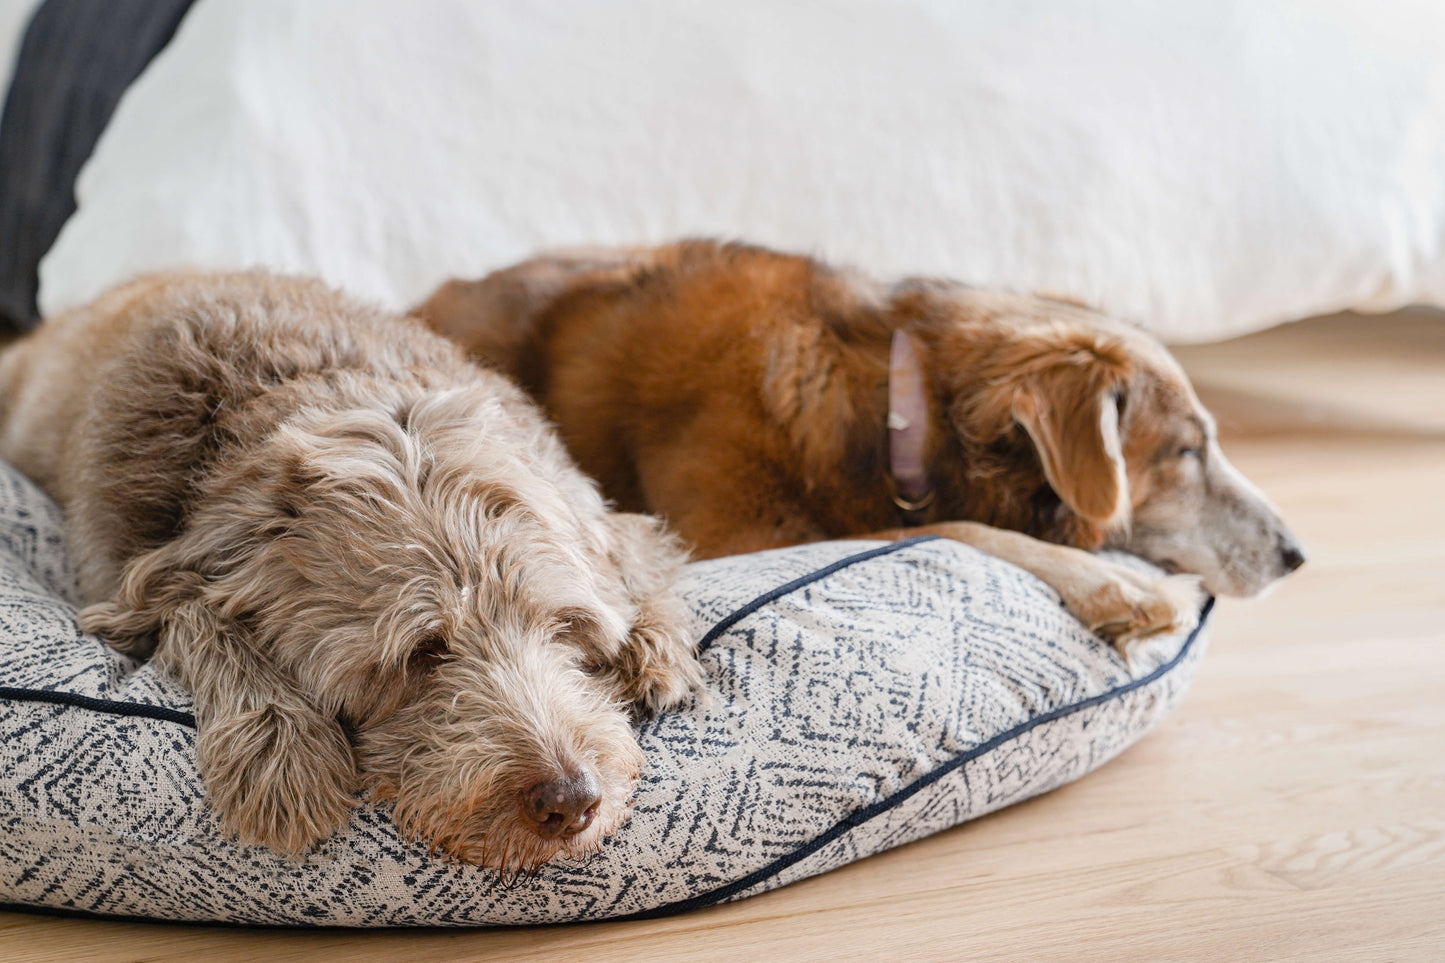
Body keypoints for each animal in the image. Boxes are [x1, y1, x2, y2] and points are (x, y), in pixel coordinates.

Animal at [416, 240, 1300, 653]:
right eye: (1185, 452)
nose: (1297, 554)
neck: (894, 408)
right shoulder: (729, 536)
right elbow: (946, 527)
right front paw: (1119, 587)